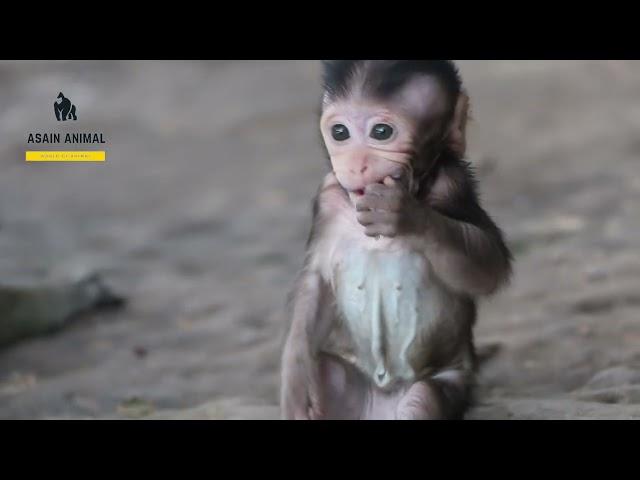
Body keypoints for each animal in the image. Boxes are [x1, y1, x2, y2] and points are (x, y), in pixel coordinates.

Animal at [282, 61, 512, 420]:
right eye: (340, 133)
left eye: (381, 132)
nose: (356, 164)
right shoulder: (327, 199)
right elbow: (315, 282)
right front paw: (294, 379)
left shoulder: (453, 183)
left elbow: (489, 263)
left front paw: (404, 213)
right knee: (326, 372)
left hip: (443, 383)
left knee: (423, 398)